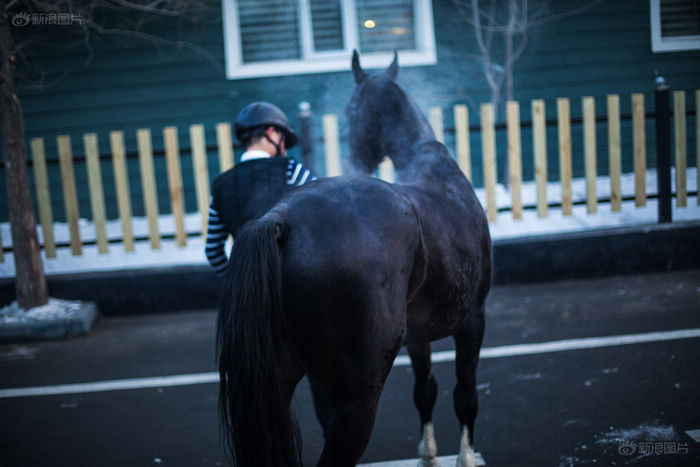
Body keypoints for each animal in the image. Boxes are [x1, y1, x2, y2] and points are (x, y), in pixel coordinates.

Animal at [219, 52, 492, 467]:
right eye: (350, 108)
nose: (354, 161)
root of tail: (280, 219)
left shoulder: (419, 337)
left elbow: (425, 390)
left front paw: (428, 454)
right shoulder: (473, 320)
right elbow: (465, 396)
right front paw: (466, 457)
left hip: (276, 385)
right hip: (357, 398)